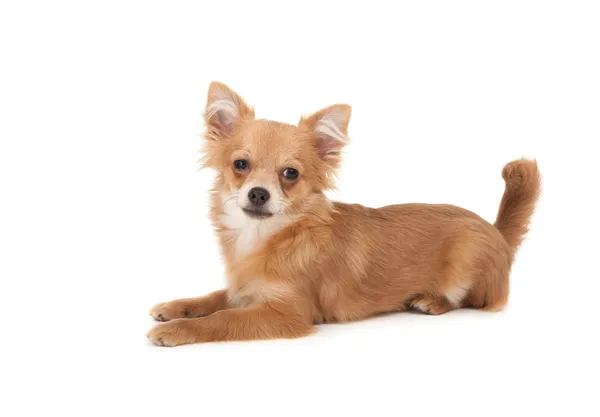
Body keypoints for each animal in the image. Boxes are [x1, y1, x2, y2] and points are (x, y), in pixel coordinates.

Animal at [148, 83, 540, 346]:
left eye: (290, 173)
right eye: (240, 165)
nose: (259, 193)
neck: (266, 236)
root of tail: (495, 232)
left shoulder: (287, 314)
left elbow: (222, 318)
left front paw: (176, 330)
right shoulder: (243, 289)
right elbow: (212, 299)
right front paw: (175, 307)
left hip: (466, 260)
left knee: (467, 299)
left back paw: (431, 300)